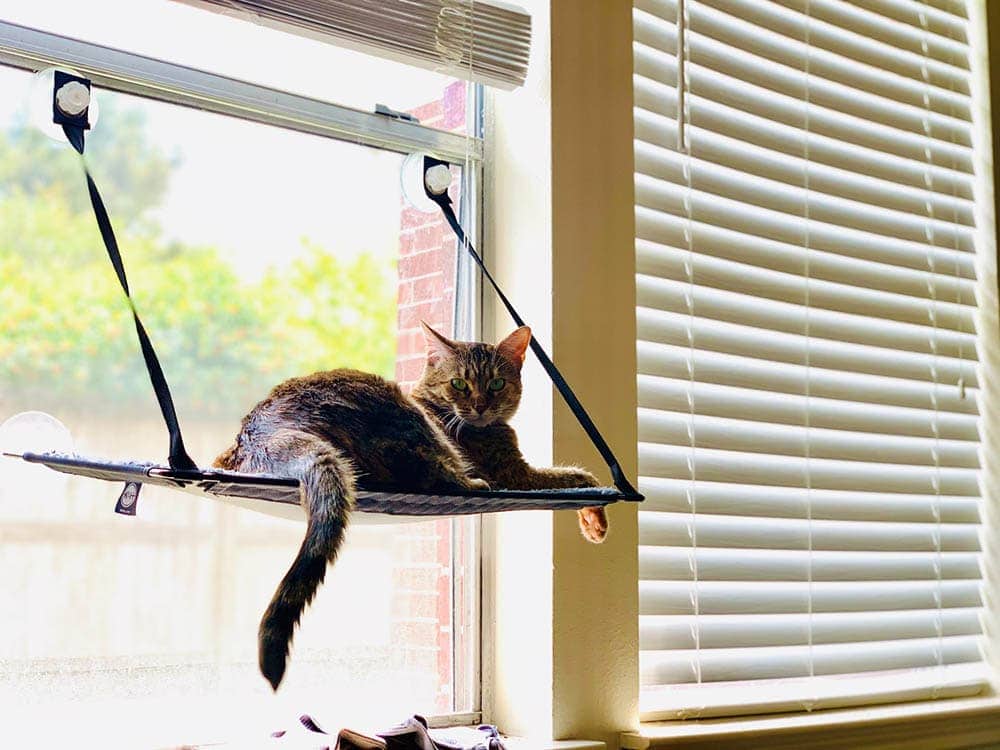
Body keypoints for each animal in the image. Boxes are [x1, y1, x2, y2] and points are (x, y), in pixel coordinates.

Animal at [215, 324, 604, 692]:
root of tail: (262, 430)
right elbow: (578, 475)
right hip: (413, 425)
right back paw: (473, 483)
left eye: (496, 383)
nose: (480, 406)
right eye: (459, 384)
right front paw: (594, 515)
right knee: (439, 476)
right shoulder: (517, 473)